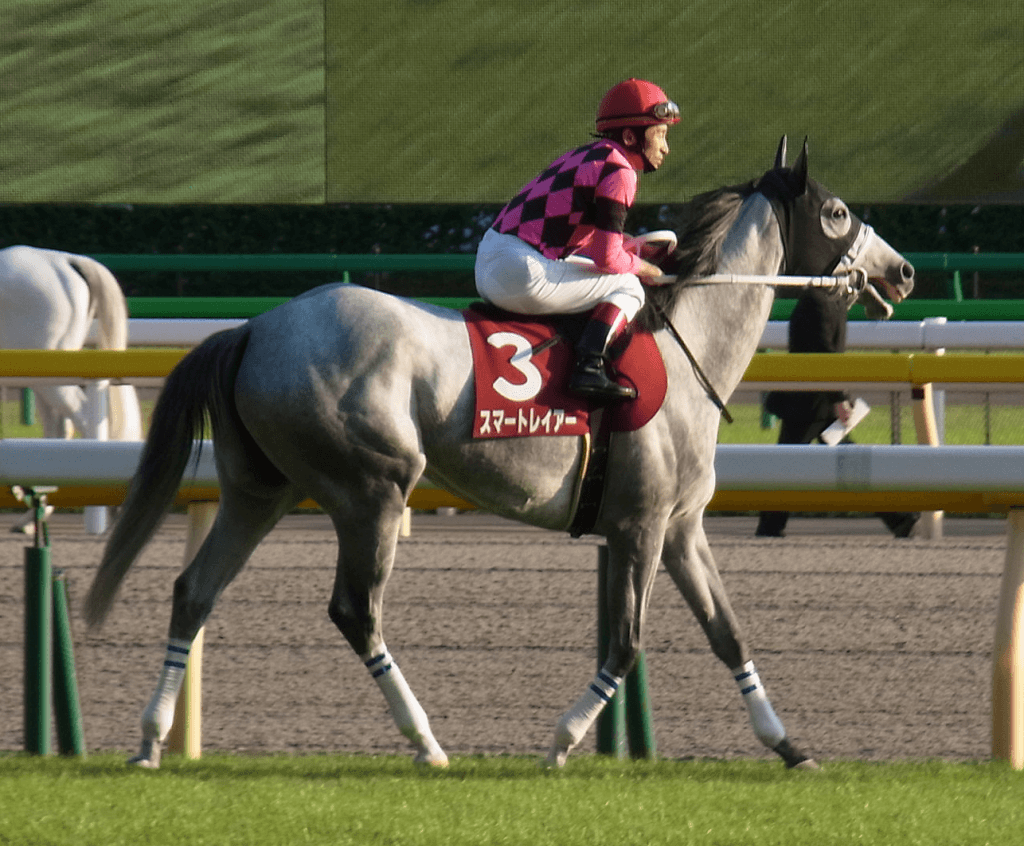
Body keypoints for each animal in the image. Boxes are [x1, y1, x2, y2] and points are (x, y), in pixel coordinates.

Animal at [0, 246, 143, 531]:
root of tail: (66, 261)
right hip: (45, 379)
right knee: (58, 433)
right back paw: (32, 517)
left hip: (51, 377)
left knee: (84, 422)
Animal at [84, 138, 914, 769]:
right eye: (838, 212)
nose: (901, 270)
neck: (688, 351)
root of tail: (254, 328)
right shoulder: (640, 528)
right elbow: (625, 644)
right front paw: (561, 742)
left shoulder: (679, 530)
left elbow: (727, 631)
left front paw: (790, 746)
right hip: (372, 487)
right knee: (356, 610)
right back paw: (426, 743)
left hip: (263, 489)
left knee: (195, 591)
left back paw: (150, 741)